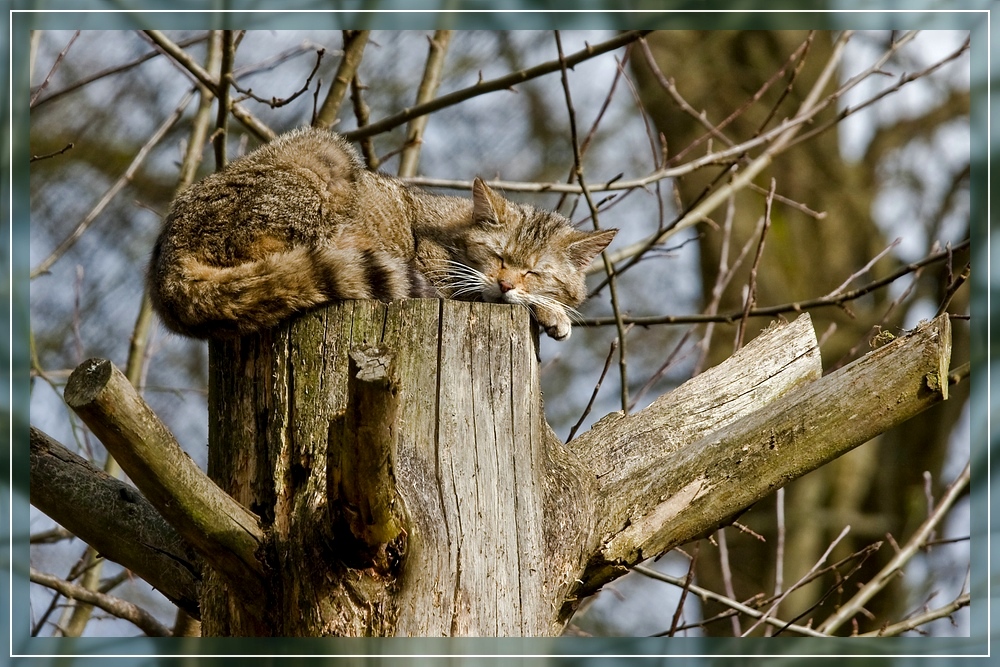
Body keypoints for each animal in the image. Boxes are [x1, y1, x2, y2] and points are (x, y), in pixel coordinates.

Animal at [146, 128, 616, 342]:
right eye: (498, 256)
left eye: (535, 272)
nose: (506, 283)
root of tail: (165, 269)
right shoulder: (441, 271)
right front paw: (548, 311)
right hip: (324, 156)